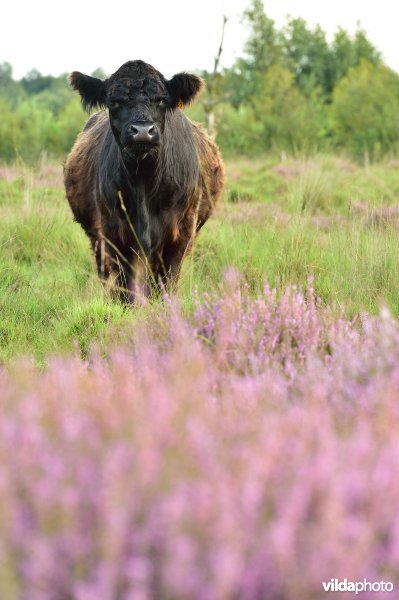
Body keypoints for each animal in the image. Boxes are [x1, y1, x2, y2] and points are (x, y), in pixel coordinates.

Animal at [64, 59, 223, 298]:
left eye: (161, 100)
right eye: (115, 102)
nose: (141, 131)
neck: (144, 182)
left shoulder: (181, 234)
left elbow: (167, 282)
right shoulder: (113, 233)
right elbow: (124, 287)